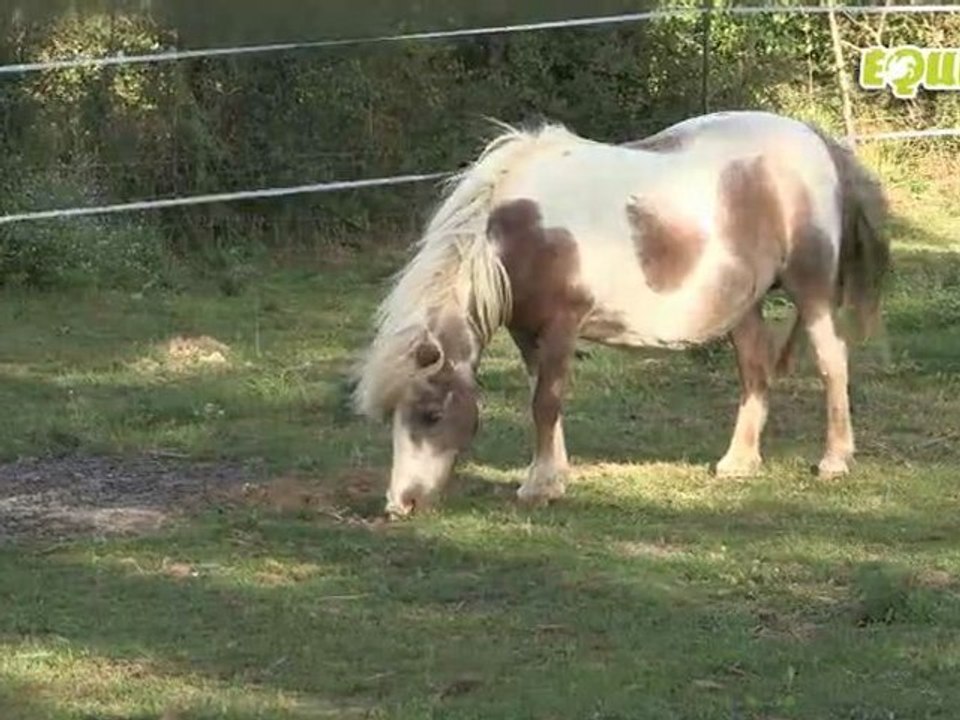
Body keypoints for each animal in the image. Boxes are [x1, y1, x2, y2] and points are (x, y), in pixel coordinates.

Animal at [352, 110, 890, 517]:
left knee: (832, 361)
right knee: (755, 370)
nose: (400, 504)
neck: (520, 232)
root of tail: (817, 139)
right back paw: (738, 461)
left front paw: (540, 486)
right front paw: (553, 476)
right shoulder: (527, 331)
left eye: (431, 413)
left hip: (811, 290)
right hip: (745, 304)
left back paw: (834, 460)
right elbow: (542, 398)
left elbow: (545, 401)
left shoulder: (561, 326)